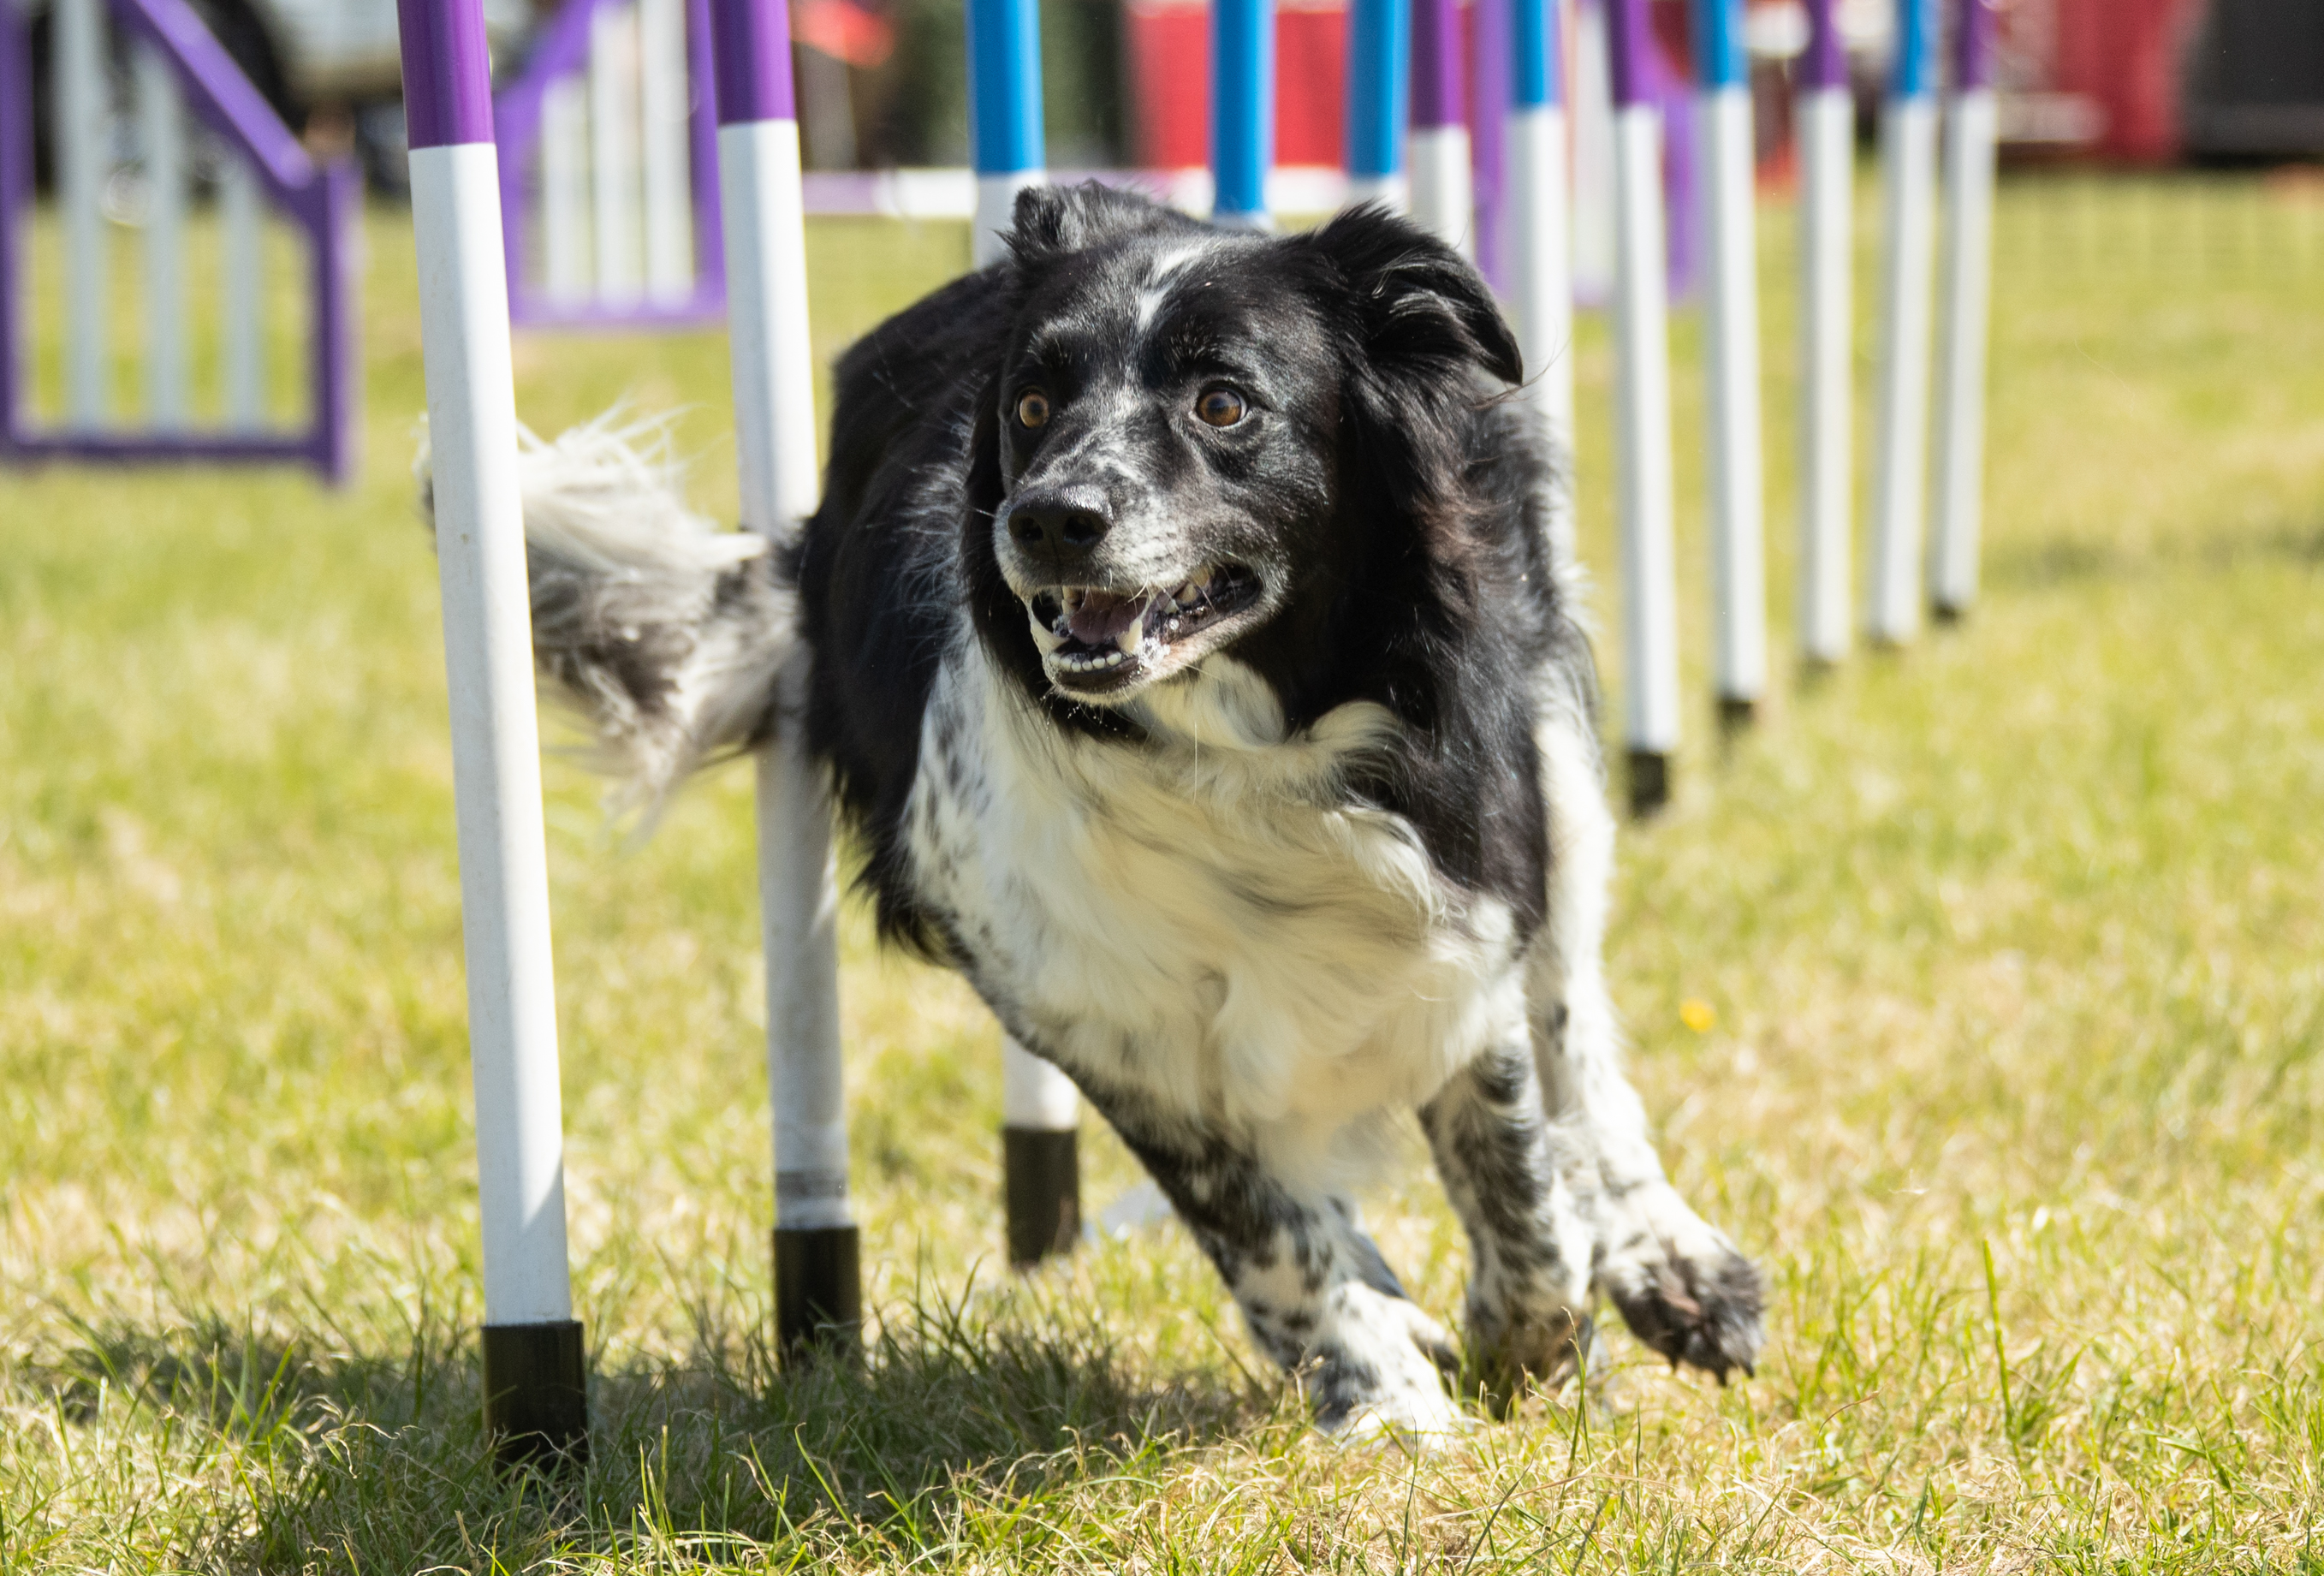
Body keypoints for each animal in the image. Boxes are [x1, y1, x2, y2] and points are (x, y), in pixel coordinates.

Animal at [504, 187, 1756, 1441]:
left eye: (1224, 402)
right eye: (1030, 405)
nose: (1049, 518)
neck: (1246, 763)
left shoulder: (1462, 905)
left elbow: (1520, 1170)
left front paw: (1536, 1336)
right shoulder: (1106, 1015)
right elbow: (1261, 1226)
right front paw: (1388, 1395)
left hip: (1554, 764)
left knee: (1573, 1024)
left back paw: (1671, 1258)